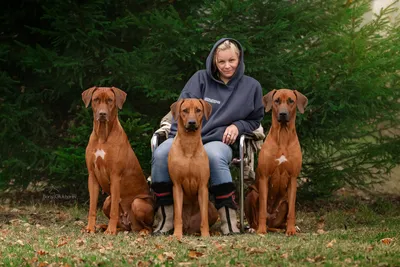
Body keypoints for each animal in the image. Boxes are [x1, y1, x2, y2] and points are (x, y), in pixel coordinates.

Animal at [82, 87, 154, 236]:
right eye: (96, 99)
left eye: (110, 100)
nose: (102, 114)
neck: (102, 136)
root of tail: (130, 224)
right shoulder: (92, 176)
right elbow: (92, 207)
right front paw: (90, 228)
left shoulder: (115, 176)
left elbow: (115, 208)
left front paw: (110, 230)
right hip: (106, 201)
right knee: (123, 225)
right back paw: (103, 226)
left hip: (137, 203)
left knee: (149, 227)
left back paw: (142, 231)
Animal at [168, 99, 220, 241]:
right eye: (185, 110)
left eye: (198, 110)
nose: (191, 123)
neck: (189, 144)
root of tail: (190, 228)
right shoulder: (177, 186)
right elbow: (178, 216)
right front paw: (177, 234)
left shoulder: (203, 186)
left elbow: (204, 217)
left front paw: (206, 235)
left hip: (213, 209)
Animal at [242, 89, 308, 236]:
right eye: (277, 100)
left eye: (291, 101)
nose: (283, 114)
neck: (283, 135)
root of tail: (271, 224)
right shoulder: (264, 177)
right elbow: (261, 209)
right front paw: (261, 230)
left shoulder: (293, 178)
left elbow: (292, 211)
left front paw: (291, 230)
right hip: (251, 194)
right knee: (254, 219)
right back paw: (254, 228)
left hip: (285, 202)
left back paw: (290, 227)